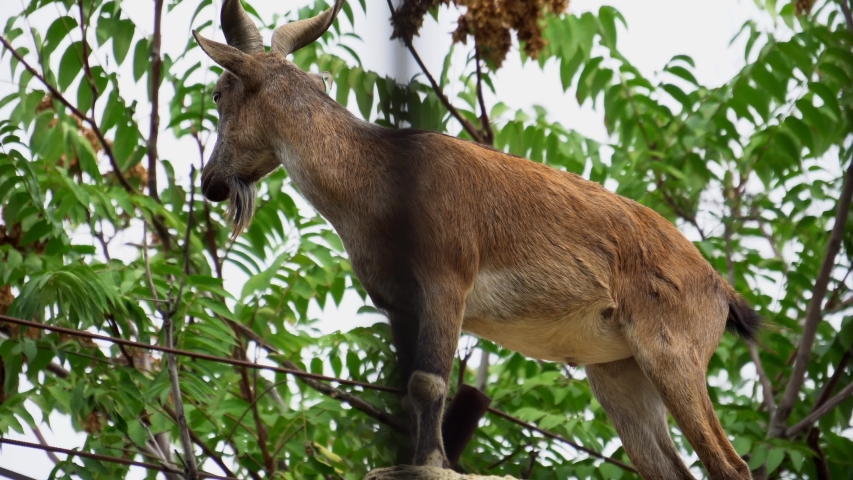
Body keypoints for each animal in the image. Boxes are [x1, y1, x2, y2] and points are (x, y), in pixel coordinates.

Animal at [193, 1, 760, 478]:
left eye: (219, 93)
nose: (211, 181)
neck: (374, 179)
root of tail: (721, 290)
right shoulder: (402, 304)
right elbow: (411, 386)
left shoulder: (447, 279)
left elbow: (429, 383)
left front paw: (429, 464)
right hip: (617, 370)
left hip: (673, 350)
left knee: (730, 465)